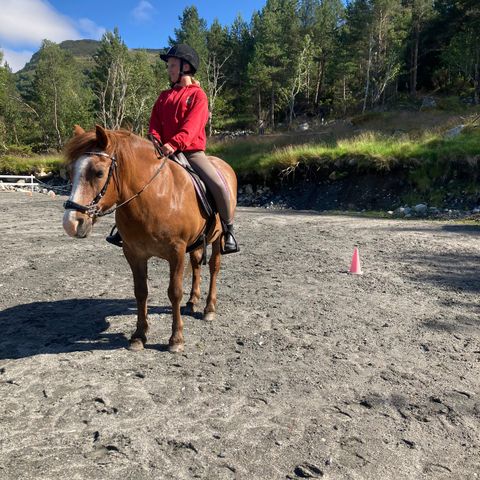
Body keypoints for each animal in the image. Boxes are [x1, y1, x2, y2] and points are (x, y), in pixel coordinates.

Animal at [62, 125, 238, 354]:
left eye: (99, 172)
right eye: (70, 171)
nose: (71, 223)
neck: (155, 195)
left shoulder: (176, 252)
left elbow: (174, 292)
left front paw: (176, 339)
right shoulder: (134, 253)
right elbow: (141, 292)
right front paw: (139, 335)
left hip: (217, 240)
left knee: (214, 268)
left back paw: (209, 308)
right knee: (196, 265)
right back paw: (192, 302)